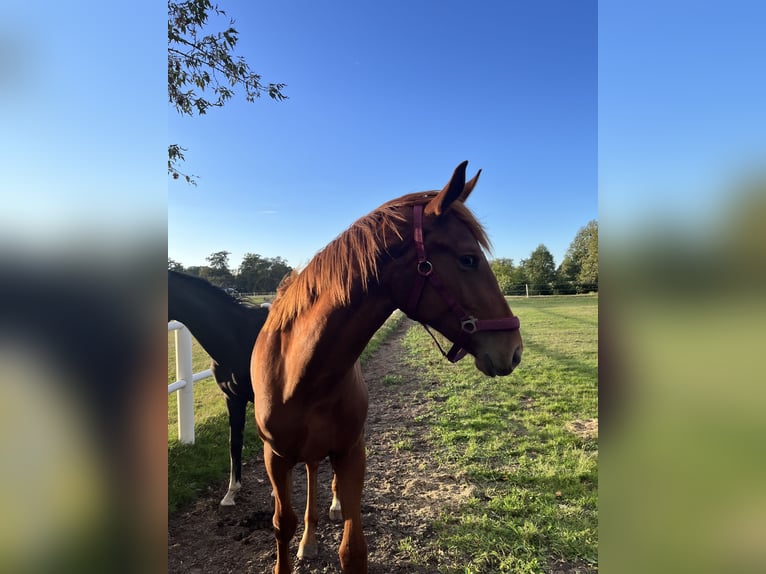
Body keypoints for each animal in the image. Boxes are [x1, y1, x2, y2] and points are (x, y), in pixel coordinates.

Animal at [255, 162, 524, 574]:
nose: (514, 351)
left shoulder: (352, 452)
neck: (301, 374)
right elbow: (281, 523)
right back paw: (309, 539)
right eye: (468, 259)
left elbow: (353, 549)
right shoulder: (276, 457)